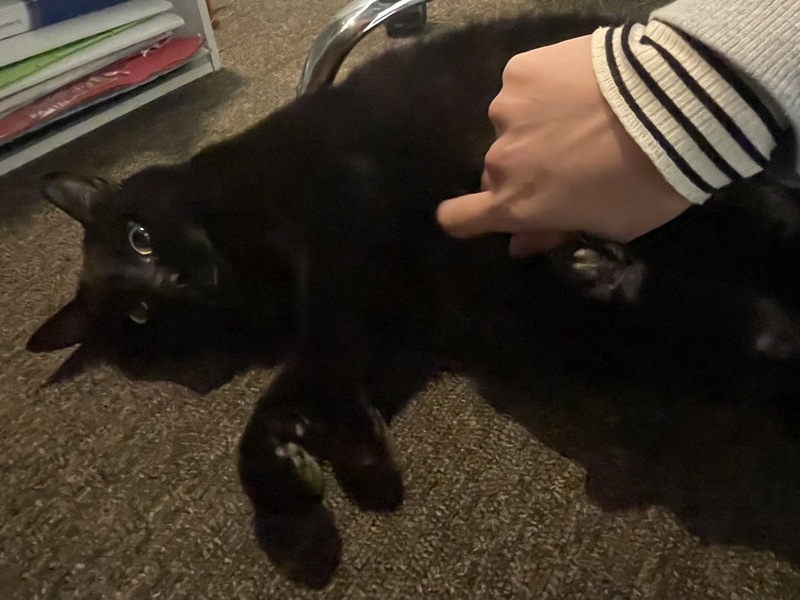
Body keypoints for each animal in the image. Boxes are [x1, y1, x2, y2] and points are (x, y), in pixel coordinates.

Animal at [28, 11, 800, 588]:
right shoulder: (390, 323)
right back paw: (610, 275)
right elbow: (305, 400)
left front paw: (308, 511)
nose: (179, 283)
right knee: (743, 327)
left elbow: (278, 401)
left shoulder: (351, 280)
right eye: (140, 316)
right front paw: (353, 468)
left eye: (140, 238)